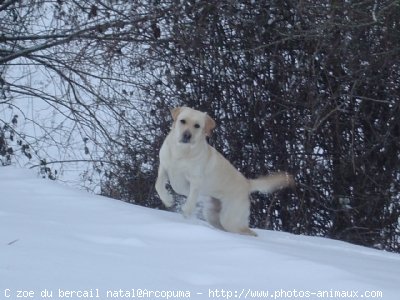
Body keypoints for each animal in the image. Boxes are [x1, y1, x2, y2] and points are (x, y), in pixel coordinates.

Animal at [155, 106, 294, 236]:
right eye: (182, 121)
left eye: (197, 125)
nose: (187, 135)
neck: (181, 152)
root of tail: (247, 183)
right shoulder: (164, 168)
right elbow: (158, 185)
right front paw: (167, 200)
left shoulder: (195, 181)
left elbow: (190, 201)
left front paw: (185, 214)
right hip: (214, 217)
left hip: (230, 219)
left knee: (249, 232)